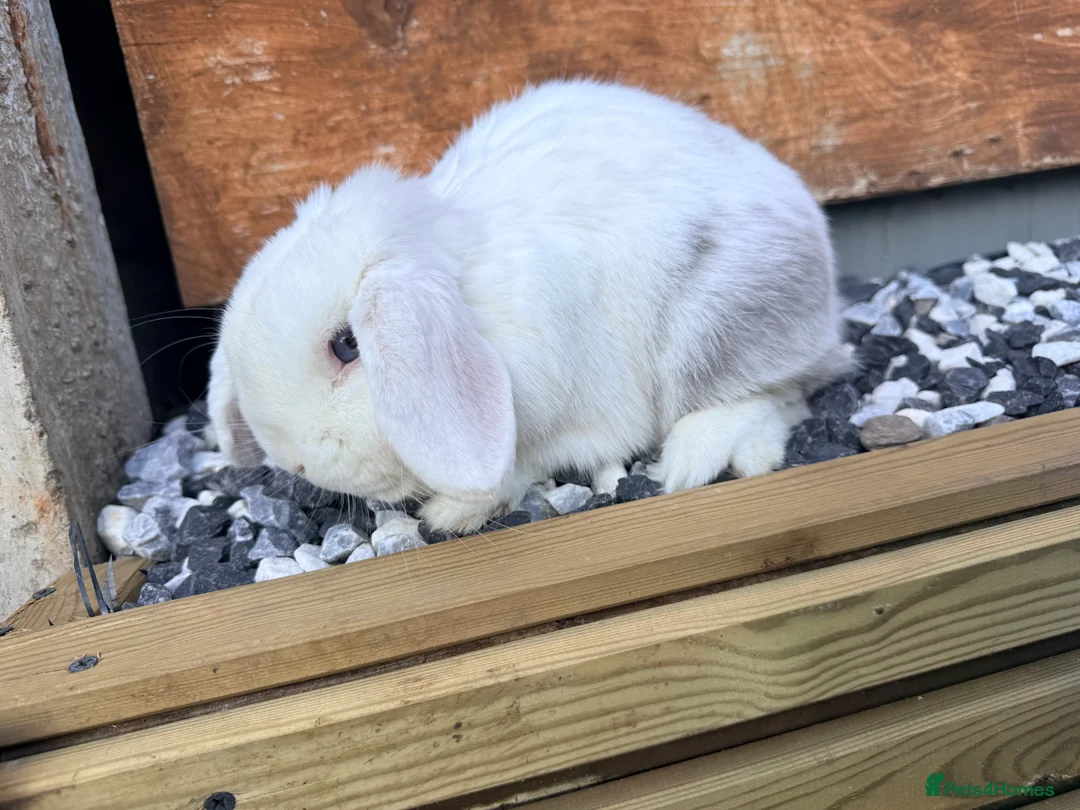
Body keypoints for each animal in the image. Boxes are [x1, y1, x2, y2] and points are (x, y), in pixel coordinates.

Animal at [208, 78, 849, 532]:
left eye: (347, 346)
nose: (294, 463)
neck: (476, 309)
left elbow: (515, 472)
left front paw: (450, 514)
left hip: (714, 331)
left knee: (781, 395)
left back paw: (693, 459)